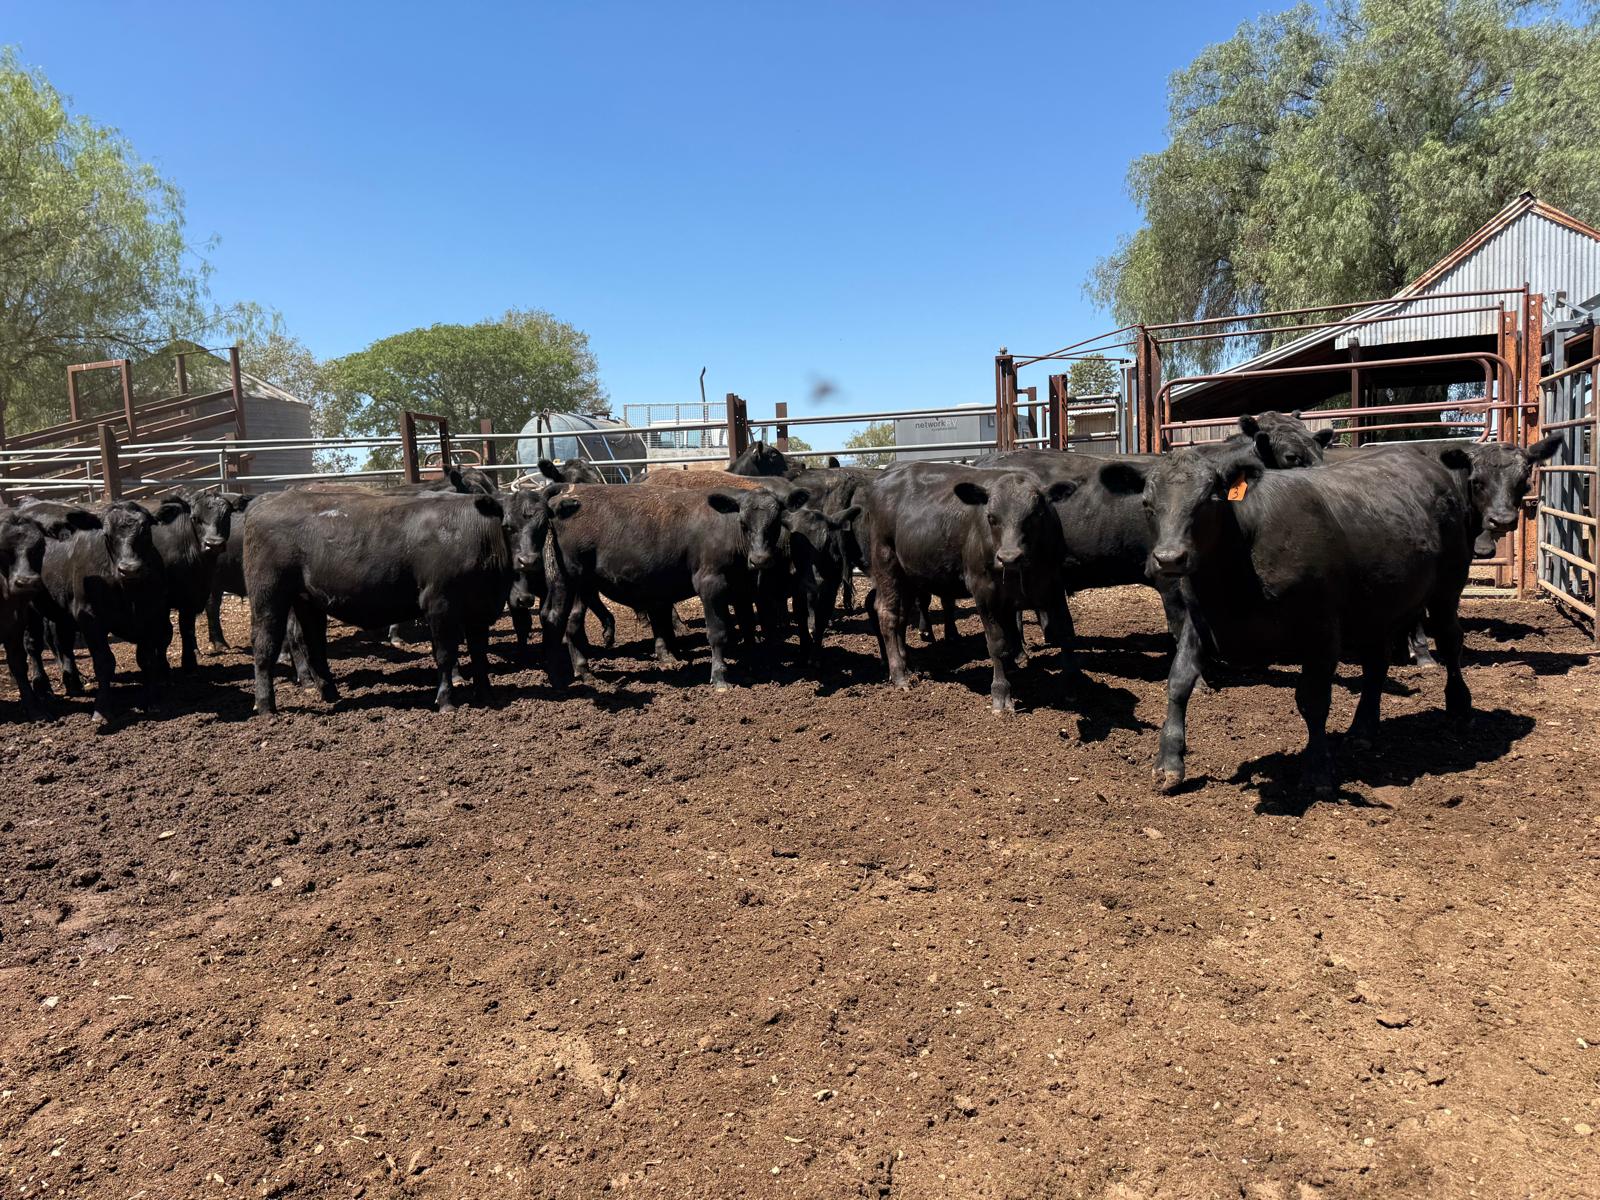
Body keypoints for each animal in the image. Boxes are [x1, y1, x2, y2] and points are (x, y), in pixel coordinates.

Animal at [21, 500, 173, 724]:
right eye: (107, 534)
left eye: (146, 530)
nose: (129, 569)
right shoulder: (90, 618)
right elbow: (104, 662)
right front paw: (102, 710)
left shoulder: (152, 614)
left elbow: (147, 659)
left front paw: (153, 702)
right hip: (30, 608)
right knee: (33, 646)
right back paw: (42, 688)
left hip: (62, 611)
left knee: (63, 643)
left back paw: (73, 682)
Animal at [244, 489, 523, 715]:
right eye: (508, 526)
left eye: (534, 524)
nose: (526, 559)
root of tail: (264, 501)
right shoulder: (439, 604)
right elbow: (445, 654)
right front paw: (446, 701)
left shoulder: (480, 609)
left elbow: (479, 653)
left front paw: (486, 694)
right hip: (268, 595)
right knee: (265, 645)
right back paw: (266, 706)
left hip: (308, 601)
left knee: (313, 644)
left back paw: (329, 692)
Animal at [539, 483, 810, 690]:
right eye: (743, 522)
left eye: (776, 523)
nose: (760, 559)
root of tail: (563, 497)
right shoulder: (710, 584)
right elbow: (718, 633)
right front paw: (719, 677)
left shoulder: (742, 588)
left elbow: (748, 628)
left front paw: (753, 666)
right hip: (570, 580)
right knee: (557, 619)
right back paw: (565, 675)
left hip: (582, 586)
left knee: (570, 623)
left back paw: (582, 671)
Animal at [863, 463, 1075, 712]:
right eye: (991, 517)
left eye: (1036, 514)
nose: (1009, 557)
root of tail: (886, 475)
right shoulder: (983, 590)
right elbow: (997, 642)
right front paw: (1001, 693)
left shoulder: (1053, 583)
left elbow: (1066, 631)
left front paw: (1072, 685)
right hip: (886, 561)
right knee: (888, 614)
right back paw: (899, 675)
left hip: (910, 576)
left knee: (902, 617)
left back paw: (909, 665)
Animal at [1098, 445, 1475, 796]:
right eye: (1147, 503)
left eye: (1210, 499)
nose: (1169, 558)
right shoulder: (1199, 621)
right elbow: (1178, 682)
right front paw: (1169, 763)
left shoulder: (1323, 631)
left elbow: (1314, 700)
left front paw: (1318, 771)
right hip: (1379, 607)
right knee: (1376, 664)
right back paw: (1362, 730)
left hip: (1447, 587)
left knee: (1450, 639)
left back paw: (1459, 707)